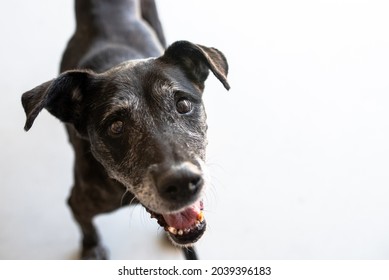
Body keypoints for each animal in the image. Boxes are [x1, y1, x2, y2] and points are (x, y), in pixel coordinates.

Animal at [20, 0, 227, 260]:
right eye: (116, 127)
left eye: (183, 105)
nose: (181, 182)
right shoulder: (78, 203)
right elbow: (87, 227)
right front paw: (92, 248)